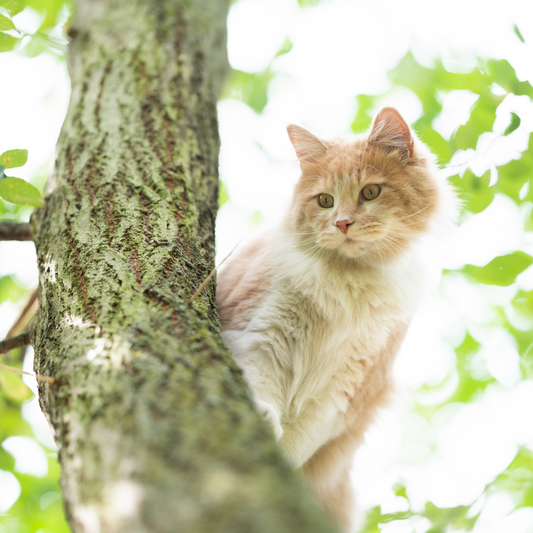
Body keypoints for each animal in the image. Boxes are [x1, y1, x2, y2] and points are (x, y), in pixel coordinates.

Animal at [215, 108, 454, 532]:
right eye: (325, 201)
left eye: (370, 193)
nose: (342, 223)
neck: (347, 281)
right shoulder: (261, 335)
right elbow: (259, 382)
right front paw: (263, 419)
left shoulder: (345, 390)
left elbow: (299, 442)